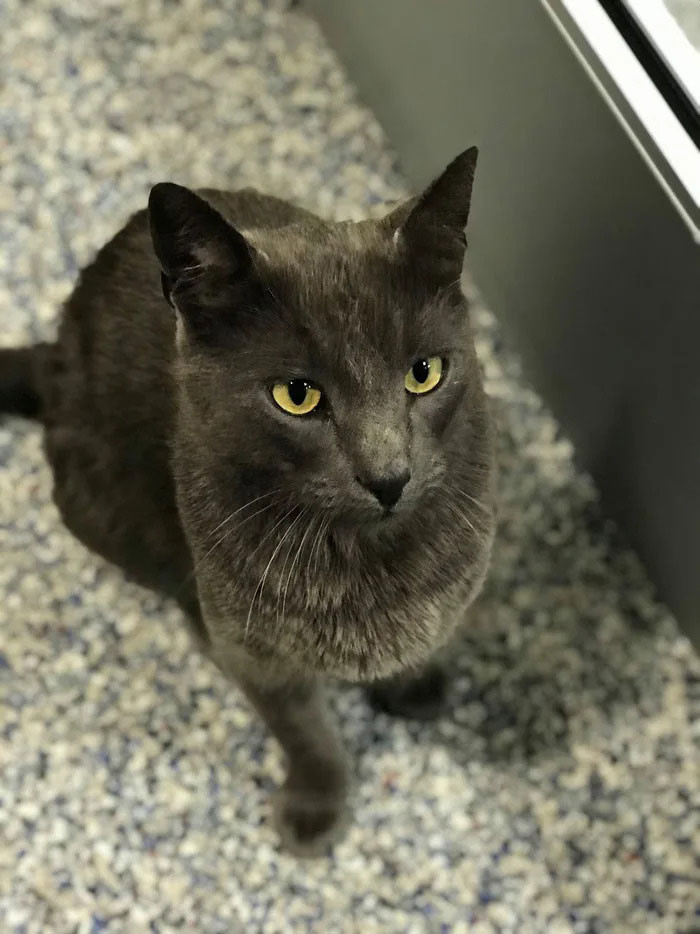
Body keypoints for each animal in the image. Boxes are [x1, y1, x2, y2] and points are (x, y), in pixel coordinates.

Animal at [0, 150, 494, 860]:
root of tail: (56, 352)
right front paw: (316, 807)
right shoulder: (258, 653)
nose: (389, 475)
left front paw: (414, 682)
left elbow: (428, 639)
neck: (368, 562)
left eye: (424, 373)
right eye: (297, 395)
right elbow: (304, 733)